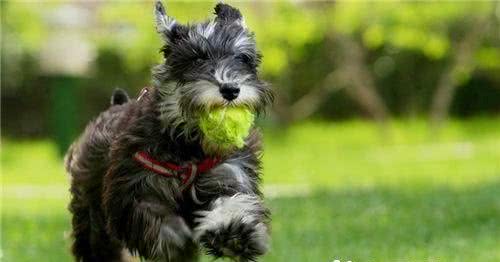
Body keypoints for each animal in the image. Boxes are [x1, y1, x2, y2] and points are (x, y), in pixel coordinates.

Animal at [65, 2, 274, 262]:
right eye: (197, 58)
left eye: (242, 58)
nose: (230, 89)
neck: (189, 145)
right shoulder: (136, 187)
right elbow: (154, 217)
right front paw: (174, 238)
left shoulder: (229, 172)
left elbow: (232, 202)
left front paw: (235, 235)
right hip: (91, 214)